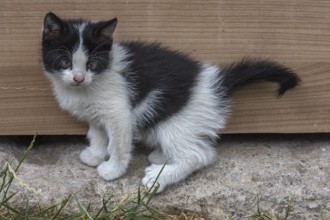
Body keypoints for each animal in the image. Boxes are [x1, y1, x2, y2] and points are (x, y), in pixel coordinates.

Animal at [40, 12, 300, 192]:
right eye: (65, 62)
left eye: (92, 64)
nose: (78, 77)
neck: (87, 87)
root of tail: (214, 81)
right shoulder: (96, 114)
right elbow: (97, 133)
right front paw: (94, 155)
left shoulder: (119, 112)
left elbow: (118, 143)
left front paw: (113, 170)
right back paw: (161, 157)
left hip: (177, 122)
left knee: (199, 155)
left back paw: (160, 177)